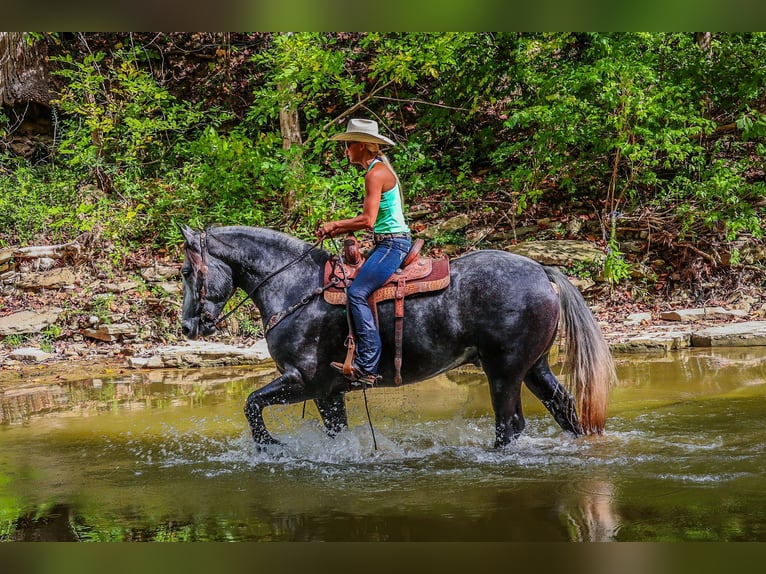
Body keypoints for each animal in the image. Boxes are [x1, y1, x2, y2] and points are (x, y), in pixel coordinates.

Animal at [179, 225, 615, 448]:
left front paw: (269, 445)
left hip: (504, 372)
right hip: (534, 367)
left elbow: (251, 403)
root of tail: (542, 270)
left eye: (185, 271)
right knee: (564, 408)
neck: (295, 286)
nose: (187, 327)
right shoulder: (328, 392)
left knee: (510, 424)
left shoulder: (303, 381)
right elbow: (336, 432)